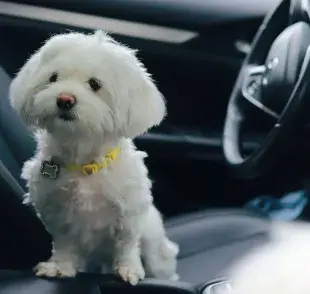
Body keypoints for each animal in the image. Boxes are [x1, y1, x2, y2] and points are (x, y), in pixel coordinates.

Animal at [9, 30, 178, 284]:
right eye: (53, 78)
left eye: (95, 84)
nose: (64, 99)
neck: (84, 161)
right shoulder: (56, 210)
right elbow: (64, 242)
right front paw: (60, 266)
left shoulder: (129, 211)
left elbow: (126, 243)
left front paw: (129, 269)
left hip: (154, 245)